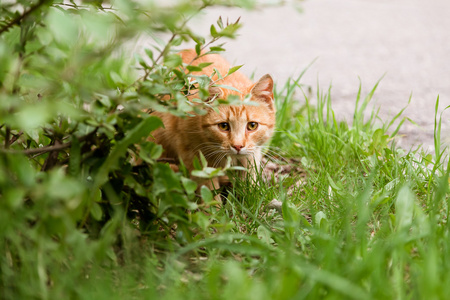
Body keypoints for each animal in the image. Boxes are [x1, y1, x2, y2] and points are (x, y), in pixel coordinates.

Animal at [153, 49, 276, 198]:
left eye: (252, 125)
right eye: (223, 126)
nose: (238, 146)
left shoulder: (252, 153)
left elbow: (250, 177)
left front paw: (250, 196)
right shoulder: (194, 157)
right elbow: (208, 190)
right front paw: (214, 204)